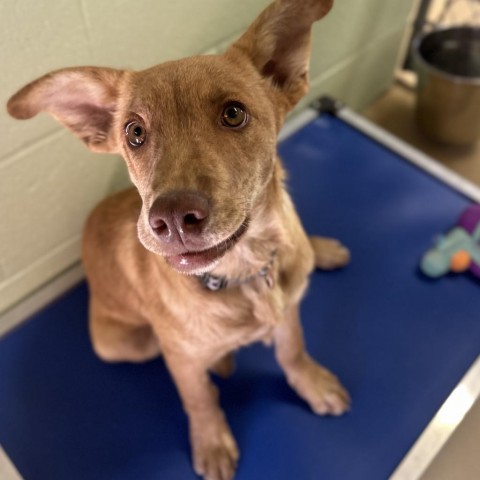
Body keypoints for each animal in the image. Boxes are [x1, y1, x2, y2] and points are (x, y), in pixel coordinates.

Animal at [7, 1, 350, 478]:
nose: (171, 219)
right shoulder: (181, 359)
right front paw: (212, 441)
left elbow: (293, 348)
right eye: (134, 132)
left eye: (233, 113)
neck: (246, 272)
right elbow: (199, 398)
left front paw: (310, 381)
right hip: (128, 344)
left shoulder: (288, 308)